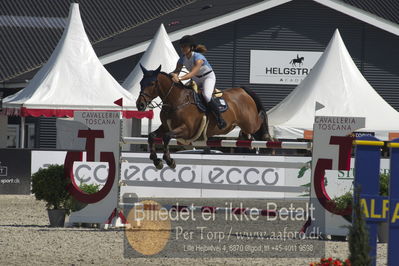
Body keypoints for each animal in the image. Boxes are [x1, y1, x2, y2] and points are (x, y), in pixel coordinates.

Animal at [137, 64, 272, 168]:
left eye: (152, 83)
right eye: (141, 83)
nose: (140, 104)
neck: (177, 101)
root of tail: (242, 90)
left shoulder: (187, 130)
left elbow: (166, 137)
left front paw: (169, 161)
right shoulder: (165, 126)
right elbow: (151, 136)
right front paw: (156, 160)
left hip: (250, 123)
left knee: (260, 118)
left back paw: (267, 136)